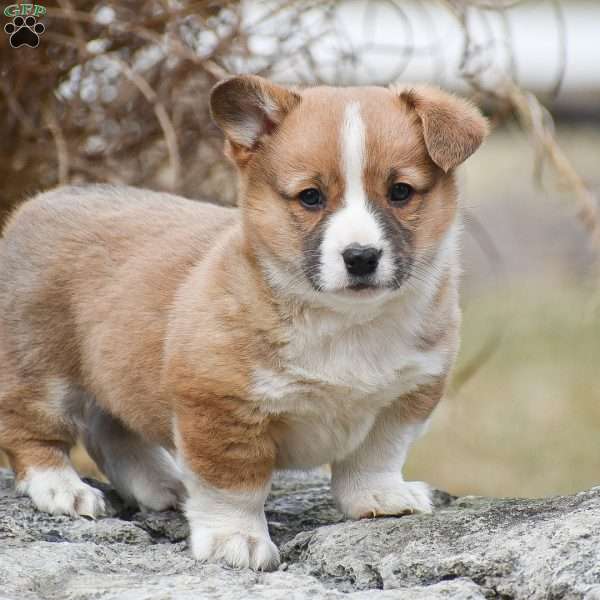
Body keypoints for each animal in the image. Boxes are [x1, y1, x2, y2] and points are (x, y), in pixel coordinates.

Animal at [0, 77, 488, 568]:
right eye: (310, 197)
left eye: (401, 192)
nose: (361, 257)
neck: (345, 321)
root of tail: (41, 201)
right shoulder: (220, 408)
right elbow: (233, 487)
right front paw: (236, 540)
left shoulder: (407, 397)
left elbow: (375, 457)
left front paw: (379, 498)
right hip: (41, 369)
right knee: (30, 431)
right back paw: (63, 489)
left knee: (112, 431)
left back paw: (162, 484)